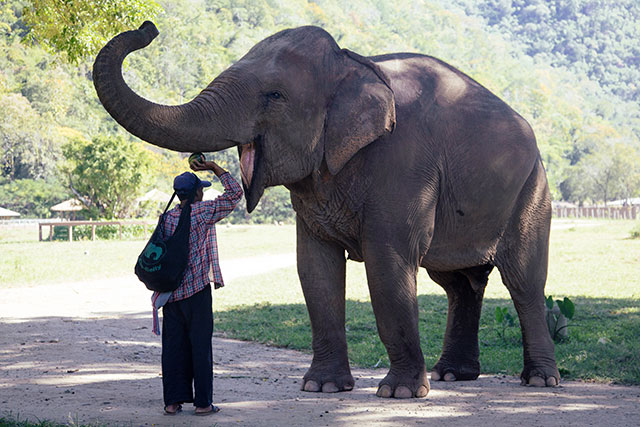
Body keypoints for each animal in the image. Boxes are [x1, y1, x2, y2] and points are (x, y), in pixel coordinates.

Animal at [93, 22, 560, 398]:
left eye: (274, 95)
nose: (148, 27)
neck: (352, 63)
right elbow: (314, 267)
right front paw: (323, 387)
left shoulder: (404, 163)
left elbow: (388, 264)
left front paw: (399, 393)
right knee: (458, 283)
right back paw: (453, 375)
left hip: (532, 190)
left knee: (523, 281)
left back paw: (539, 380)